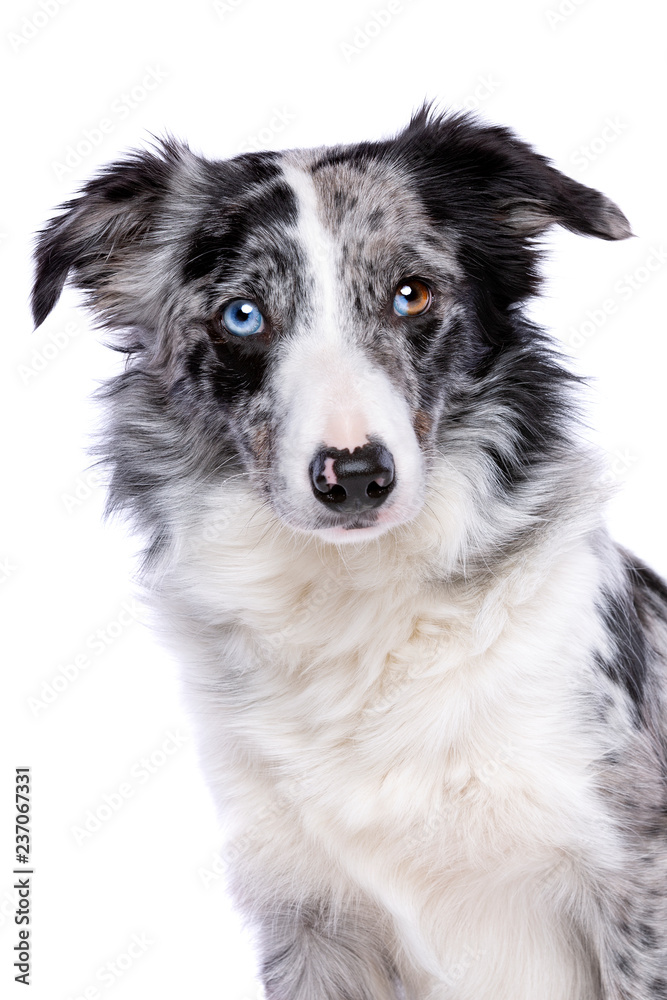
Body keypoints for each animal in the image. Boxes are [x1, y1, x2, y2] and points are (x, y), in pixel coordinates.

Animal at [32, 109, 667, 1000]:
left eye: (412, 293)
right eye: (242, 316)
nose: (357, 476)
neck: (362, 606)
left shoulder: (634, 890)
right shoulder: (309, 914)